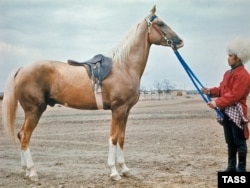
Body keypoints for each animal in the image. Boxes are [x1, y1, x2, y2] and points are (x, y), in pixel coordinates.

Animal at [0, 5, 183, 181]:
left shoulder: (126, 111)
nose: (180, 41)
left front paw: (125, 169)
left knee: (20, 134)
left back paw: (25, 170)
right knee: (25, 136)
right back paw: (32, 172)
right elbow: (113, 138)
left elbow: (121, 138)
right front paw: (114, 172)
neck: (125, 67)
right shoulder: (118, 109)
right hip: (34, 110)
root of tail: (22, 69)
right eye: (160, 23)